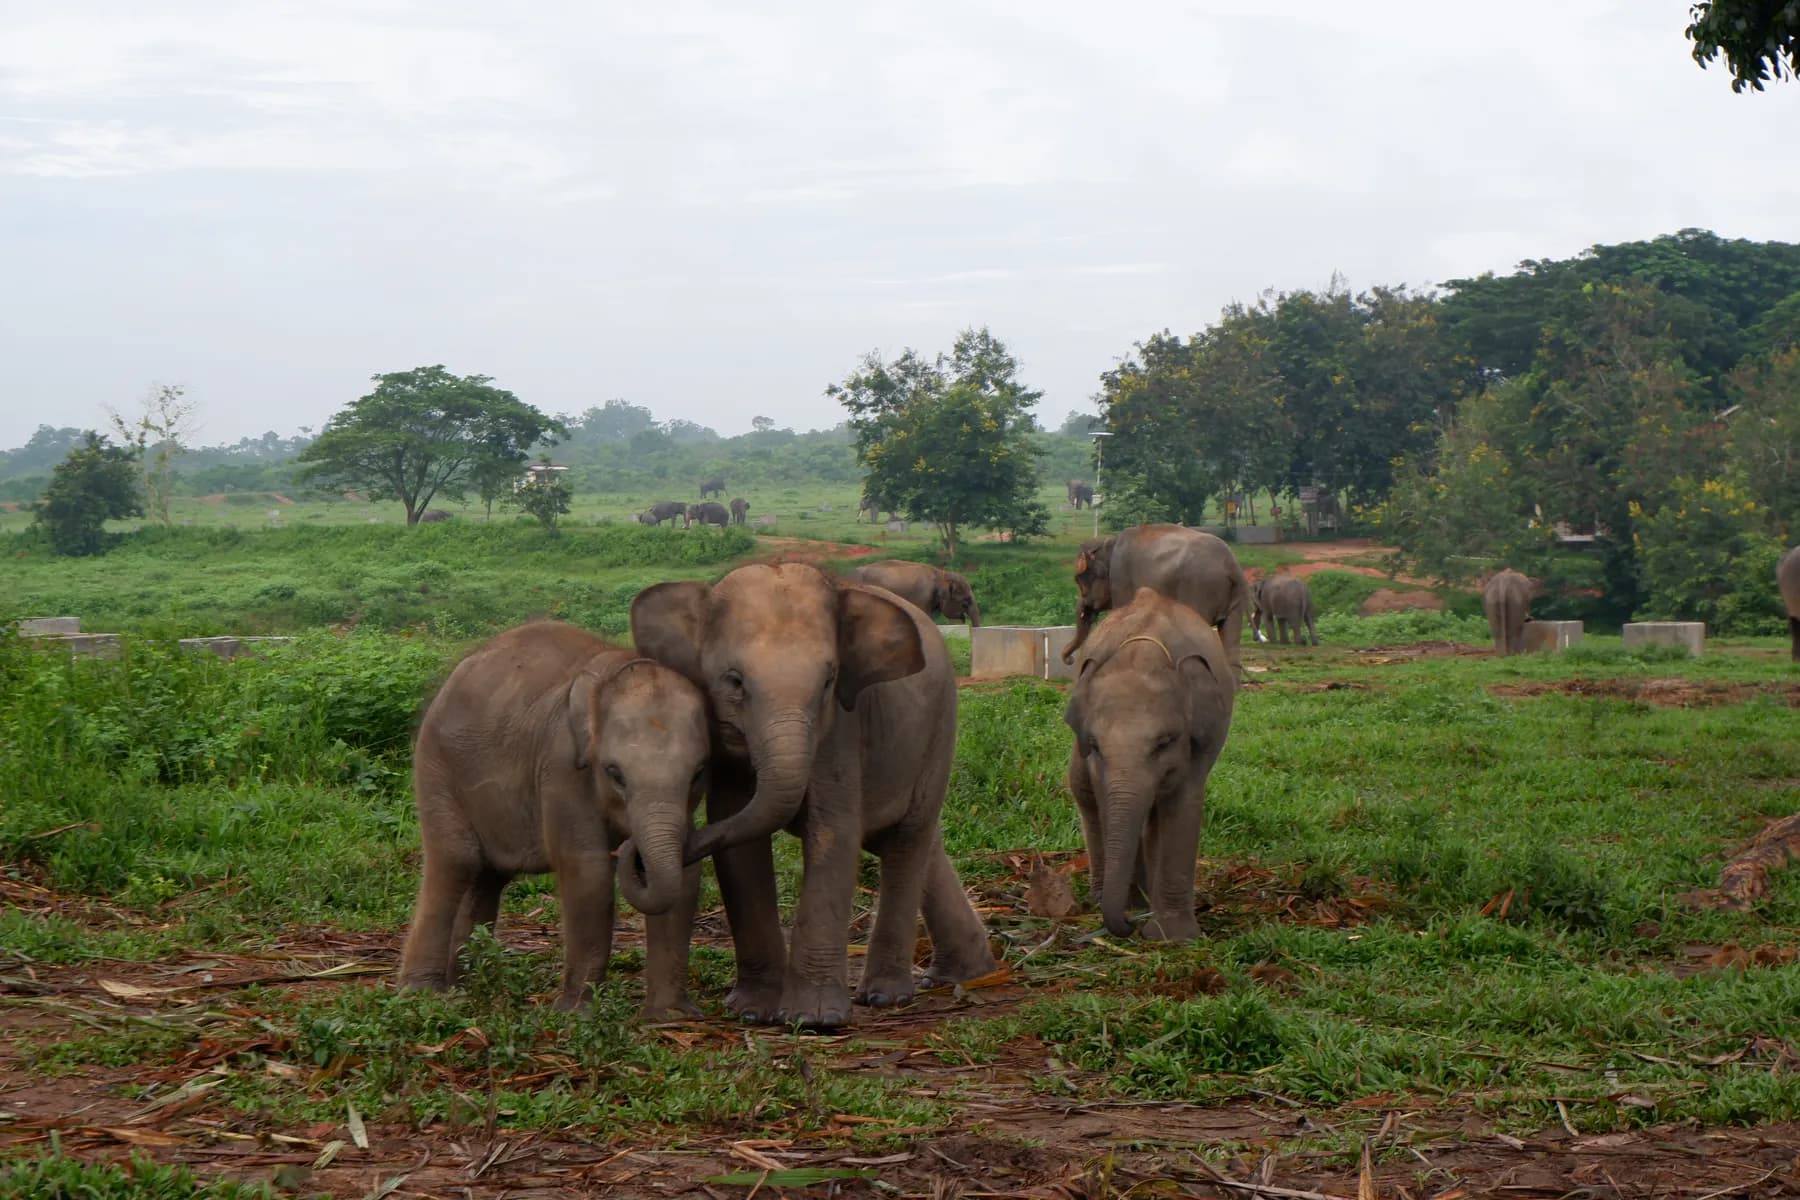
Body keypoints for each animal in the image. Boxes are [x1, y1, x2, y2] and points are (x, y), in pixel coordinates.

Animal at [398, 622, 710, 1017]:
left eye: (698, 773)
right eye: (615, 774)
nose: (632, 851)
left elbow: (688, 872)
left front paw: (670, 1017)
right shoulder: (561, 766)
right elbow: (587, 871)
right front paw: (574, 1014)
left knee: (487, 877)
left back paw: (465, 986)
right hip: (436, 767)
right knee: (457, 861)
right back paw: (423, 994)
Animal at [1060, 524, 1250, 678]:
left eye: (1078, 580)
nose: (1070, 660)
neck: (1107, 544)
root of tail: (1231, 565)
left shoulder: (1121, 580)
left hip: (1200, 587)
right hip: (1234, 598)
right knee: (1230, 637)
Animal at [1064, 588, 1235, 940]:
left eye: (1164, 743)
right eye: (1095, 745)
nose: (1129, 925)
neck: (1142, 652)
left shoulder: (1197, 744)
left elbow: (1182, 805)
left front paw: (1172, 936)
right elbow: (1104, 799)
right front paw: (1133, 909)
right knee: (1083, 792)